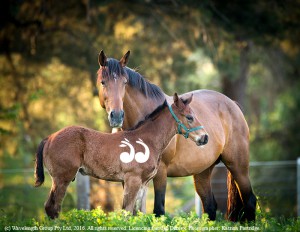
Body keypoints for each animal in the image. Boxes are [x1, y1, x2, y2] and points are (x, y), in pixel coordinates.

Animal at [34, 93, 206, 219]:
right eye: (189, 117)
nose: (205, 138)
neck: (145, 140)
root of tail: (50, 137)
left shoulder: (144, 184)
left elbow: (138, 214)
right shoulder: (132, 180)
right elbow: (127, 212)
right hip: (62, 178)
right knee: (52, 207)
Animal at [97, 50, 256, 221]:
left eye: (125, 82)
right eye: (103, 82)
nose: (116, 116)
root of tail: (233, 105)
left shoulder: (161, 172)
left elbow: (158, 210)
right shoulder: (129, 177)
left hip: (238, 166)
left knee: (250, 200)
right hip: (202, 172)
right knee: (210, 206)